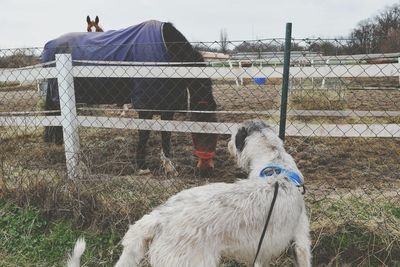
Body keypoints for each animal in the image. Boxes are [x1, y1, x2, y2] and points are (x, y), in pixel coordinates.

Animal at [40, 20, 219, 178]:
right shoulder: (145, 105)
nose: (206, 171)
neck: (166, 52)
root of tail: (50, 44)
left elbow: (166, 135)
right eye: (200, 130)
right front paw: (142, 167)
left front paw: (169, 167)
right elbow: (144, 134)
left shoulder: (168, 106)